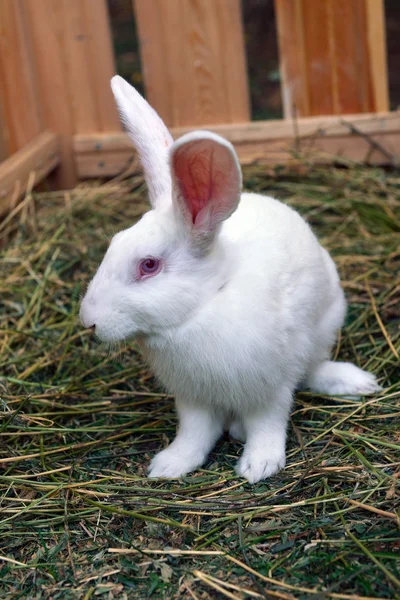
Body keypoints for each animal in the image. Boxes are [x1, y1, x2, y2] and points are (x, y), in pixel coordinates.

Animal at [80, 77, 382, 486]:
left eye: (148, 265)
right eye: (112, 245)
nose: (88, 321)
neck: (205, 305)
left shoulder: (269, 388)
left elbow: (268, 424)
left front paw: (260, 466)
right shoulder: (192, 399)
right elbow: (194, 433)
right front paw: (170, 465)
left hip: (324, 327)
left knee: (314, 369)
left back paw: (354, 382)